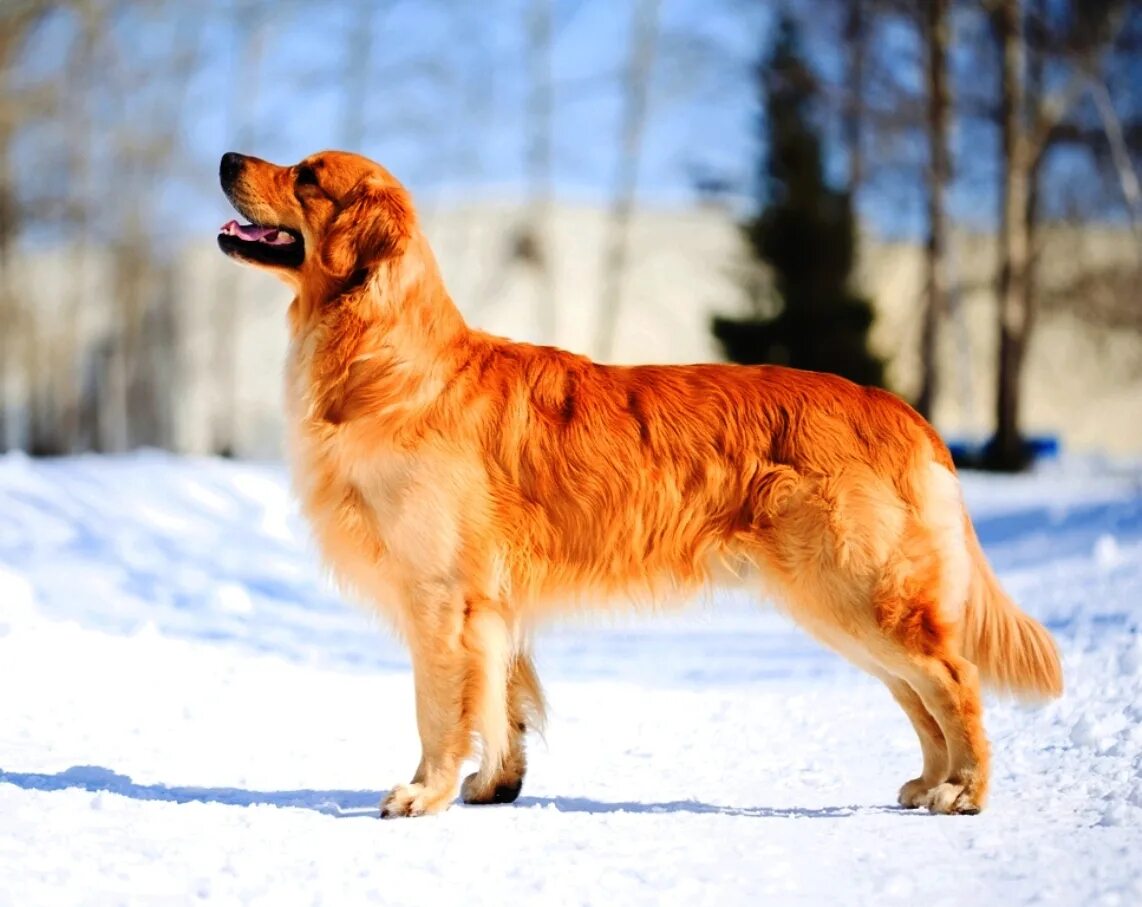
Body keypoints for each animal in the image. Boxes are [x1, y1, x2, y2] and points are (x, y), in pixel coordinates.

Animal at [220, 149, 1059, 817]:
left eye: (307, 175)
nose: (227, 157)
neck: (388, 357)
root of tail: (903, 410)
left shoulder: (442, 596)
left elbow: (440, 710)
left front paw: (423, 792)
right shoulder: (492, 607)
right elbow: (501, 704)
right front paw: (493, 786)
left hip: (857, 588)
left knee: (954, 678)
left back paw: (965, 790)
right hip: (842, 603)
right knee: (919, 693)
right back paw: (930, 781)